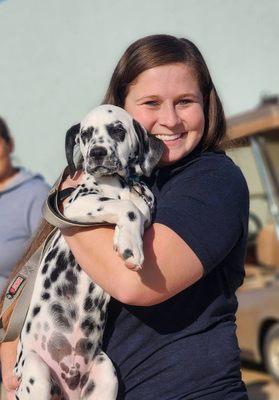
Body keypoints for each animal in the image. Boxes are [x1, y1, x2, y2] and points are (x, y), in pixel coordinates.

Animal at [14, 104, 164, 398]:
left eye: (118, 130)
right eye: (85, 134)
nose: (97, 153)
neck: (121, 185)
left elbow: (138, 208)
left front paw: (128, 238)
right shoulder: (77, 205)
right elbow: (127, 208)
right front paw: (130, 246)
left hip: (106, 374)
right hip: (37, 375)